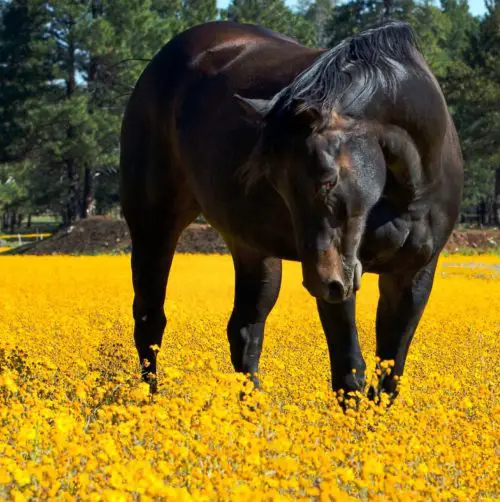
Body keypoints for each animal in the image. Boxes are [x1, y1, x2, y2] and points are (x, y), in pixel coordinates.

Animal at [121, 20, 464, 404]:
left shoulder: (413, 274)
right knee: (150, 320)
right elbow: (349, 372)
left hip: (253, 250)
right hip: (154, 225)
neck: (406, 189)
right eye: (276, 182)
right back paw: (149, 402)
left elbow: (389, 377)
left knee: (245, 331)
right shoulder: (341, 281)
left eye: (328, 179)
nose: (320, 281)